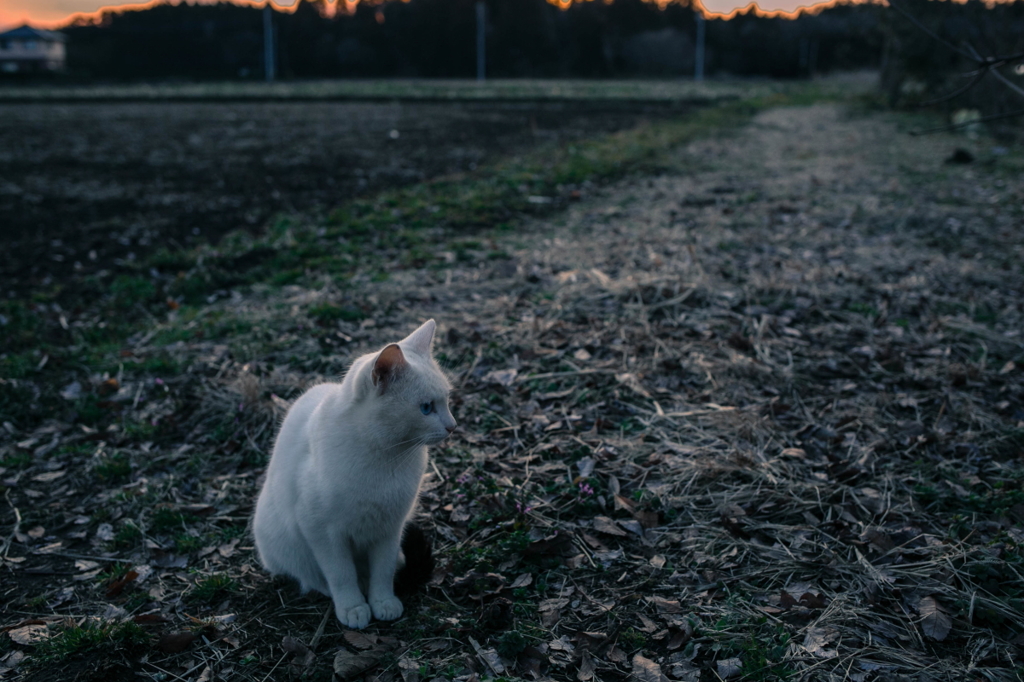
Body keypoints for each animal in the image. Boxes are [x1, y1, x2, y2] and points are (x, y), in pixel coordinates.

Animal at [251, 319, 456, 626]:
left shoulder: (390, 528)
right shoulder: (323, 533)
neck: (386, 458)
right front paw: (353, 607)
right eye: (426, 408)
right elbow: (341, 575)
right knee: (311, 576)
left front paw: (382, 602)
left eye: (446, 401)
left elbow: (383, 572)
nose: (453, 426)